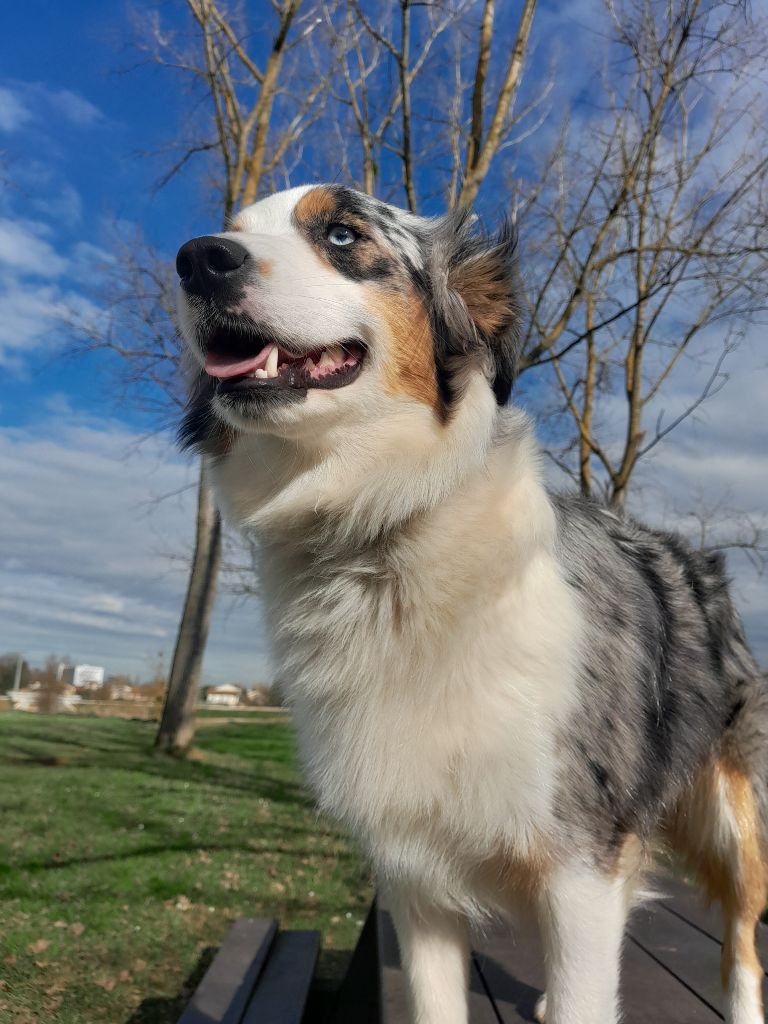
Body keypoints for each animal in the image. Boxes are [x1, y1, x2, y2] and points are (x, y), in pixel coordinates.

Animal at [176, 186, 768, 1024]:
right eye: (230, 230)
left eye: (342, 234)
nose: (198, 259)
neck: (379, 537)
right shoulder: (415, 873)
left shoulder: (581, 862)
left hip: (732, 816)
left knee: (744, 939)